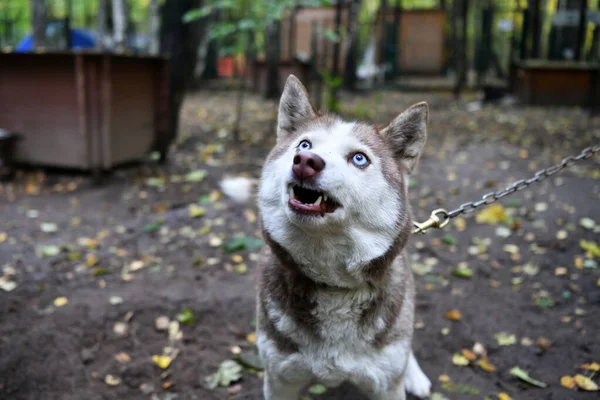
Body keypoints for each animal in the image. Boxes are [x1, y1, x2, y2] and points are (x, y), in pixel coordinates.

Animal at [255, 76, 428, 400]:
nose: (305, 160)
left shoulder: (386, 384)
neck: (333, 287)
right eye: (304, 144)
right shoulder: (279, 377)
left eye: (359, 159)